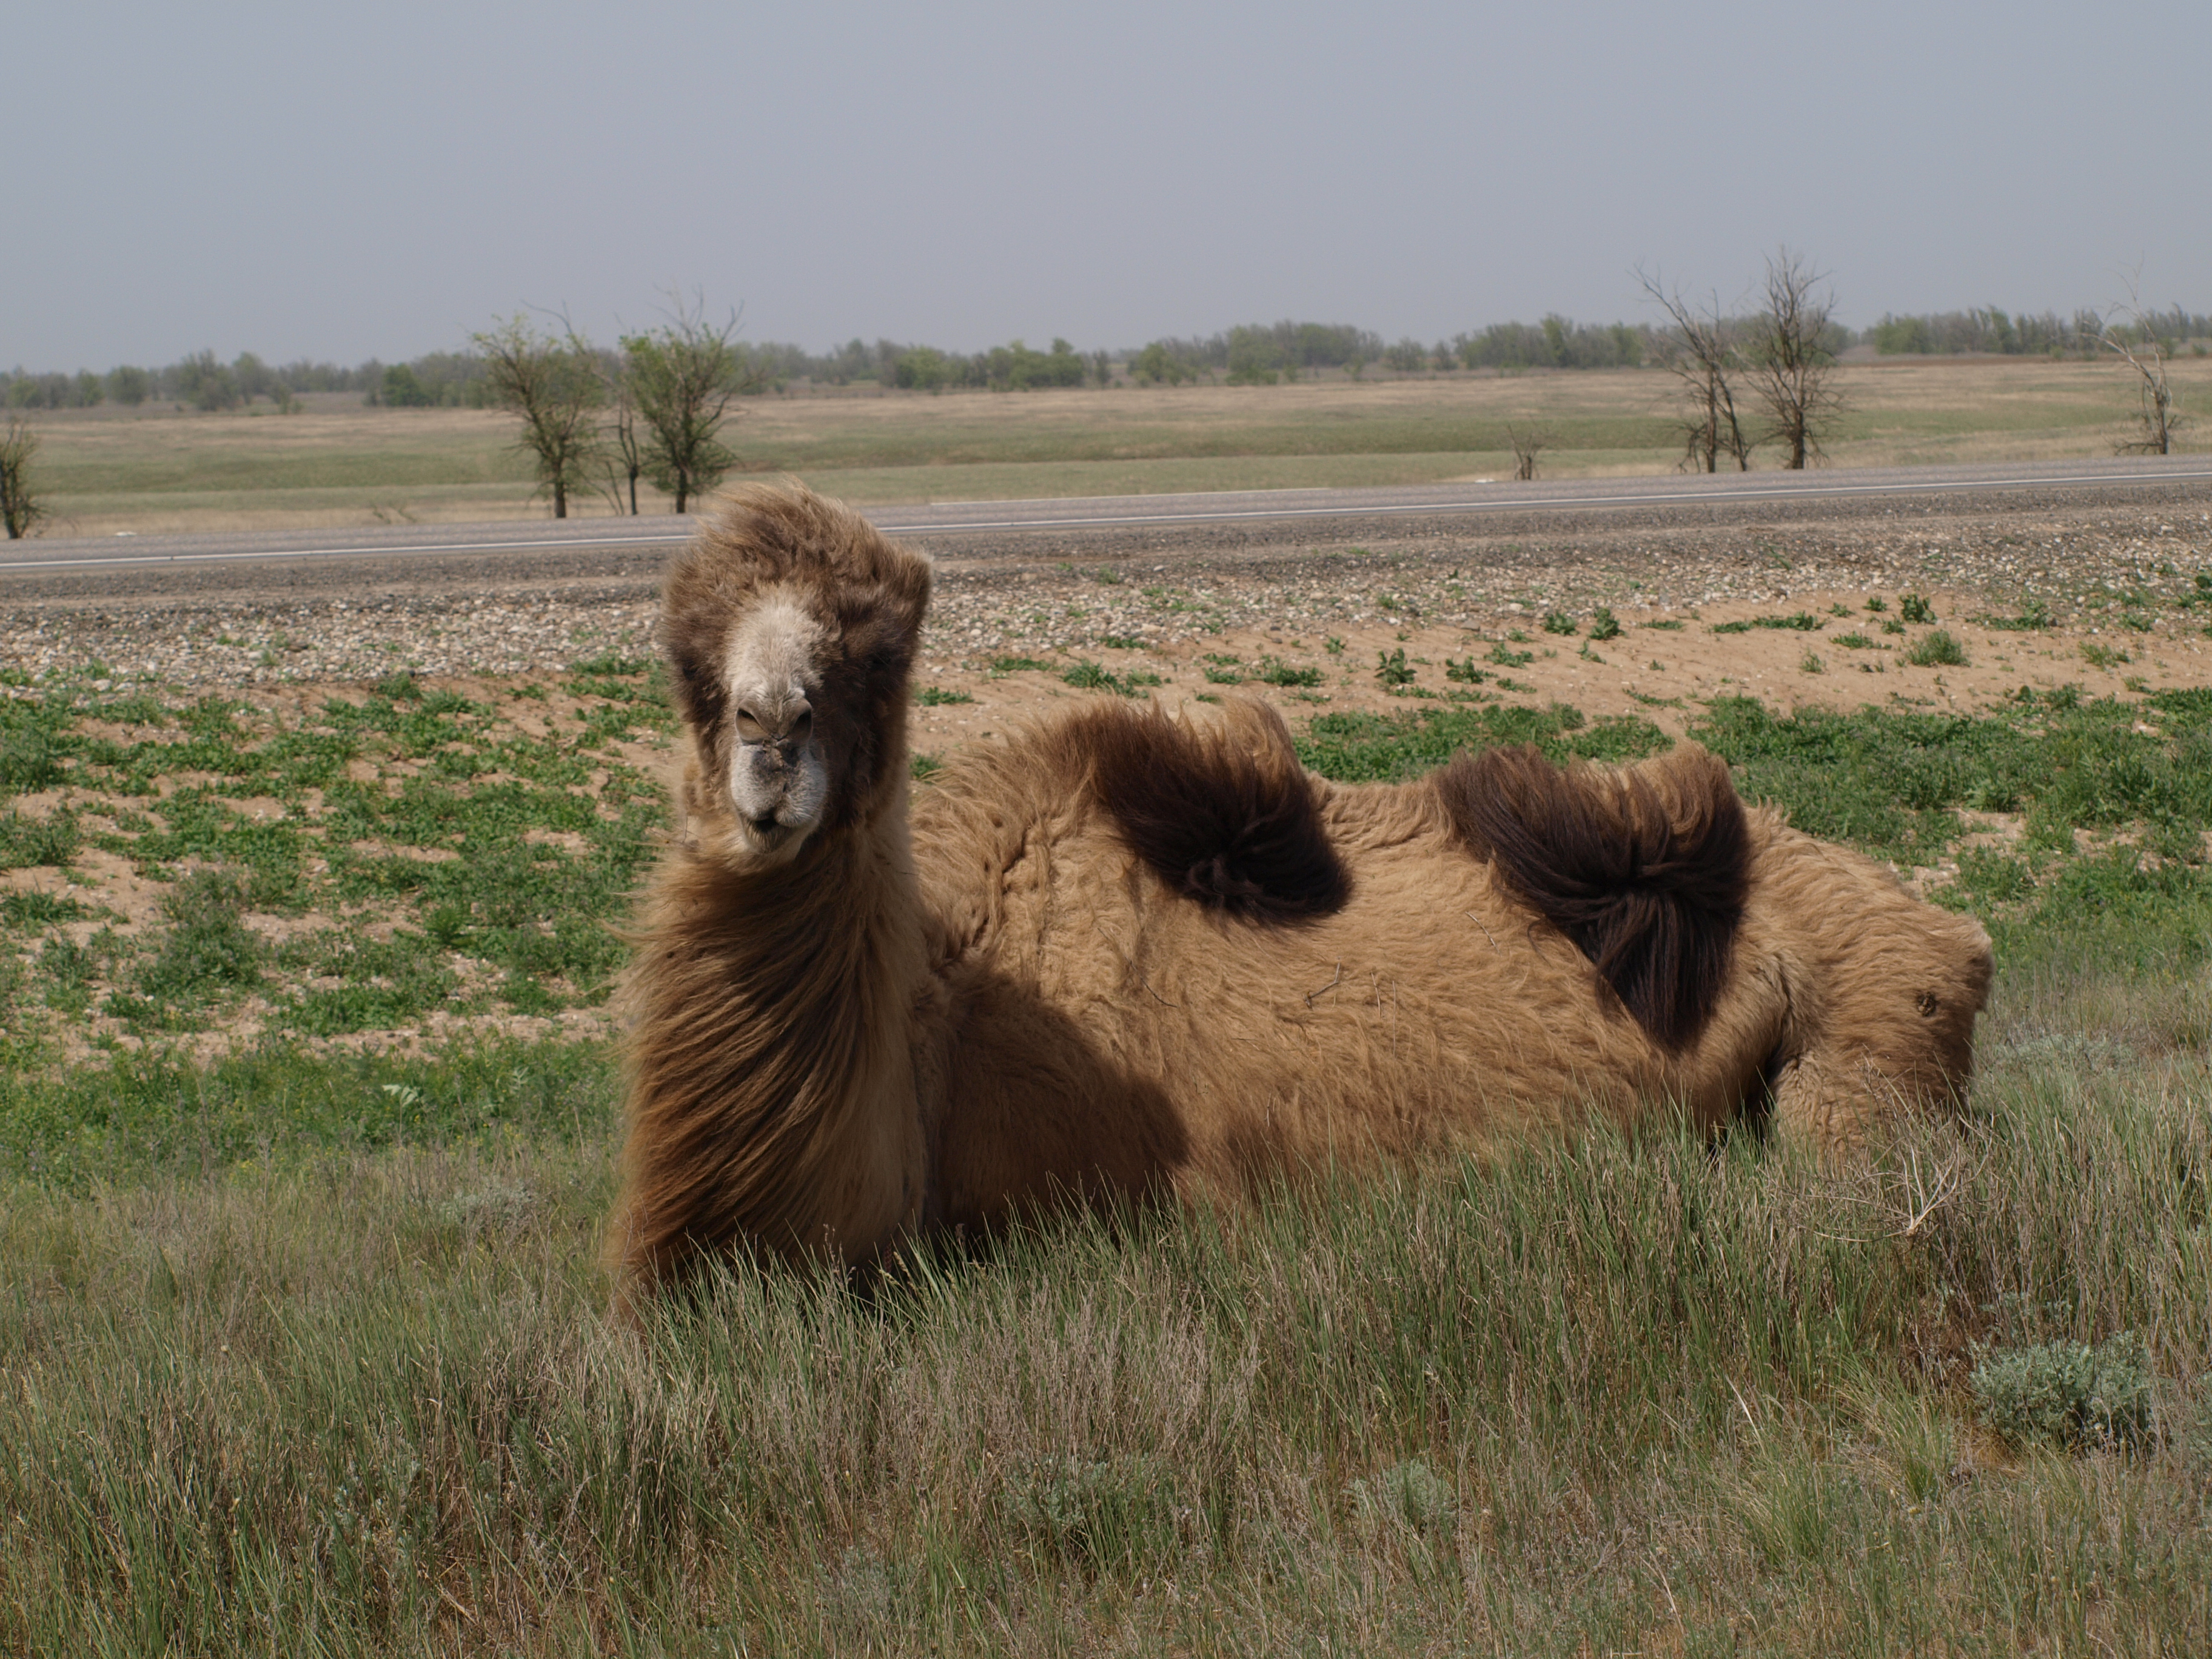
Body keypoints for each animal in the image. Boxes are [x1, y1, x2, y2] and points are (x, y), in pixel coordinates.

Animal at [610, 480, 2008, 1301]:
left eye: (876, 651)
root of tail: (1957, 932)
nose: (769, 737)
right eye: (685, 658)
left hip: (1861, 1058)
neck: (945, 1007)